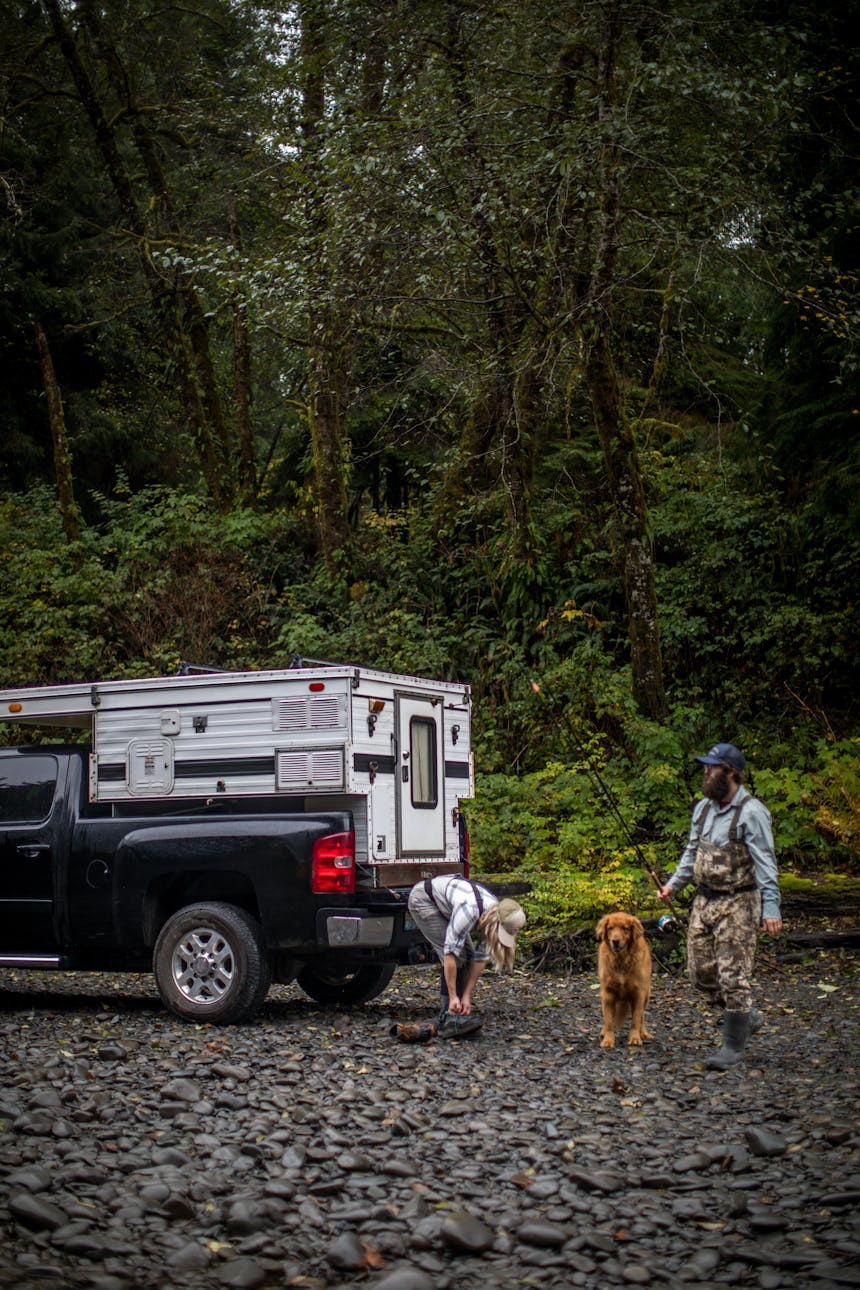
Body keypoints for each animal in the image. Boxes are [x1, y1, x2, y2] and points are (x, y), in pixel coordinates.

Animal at [598, 908, 652, 1047]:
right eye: (610, 928)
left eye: (624, 928)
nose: (615, 941)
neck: (621, 960)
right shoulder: (608, 993)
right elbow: (608, 1020)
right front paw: (608, 1039)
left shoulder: (639, 993)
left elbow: (636, 1020)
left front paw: (635, 1038)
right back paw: (603, 1032)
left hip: (646, 994)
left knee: (642, 1017)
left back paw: (644, 1033)